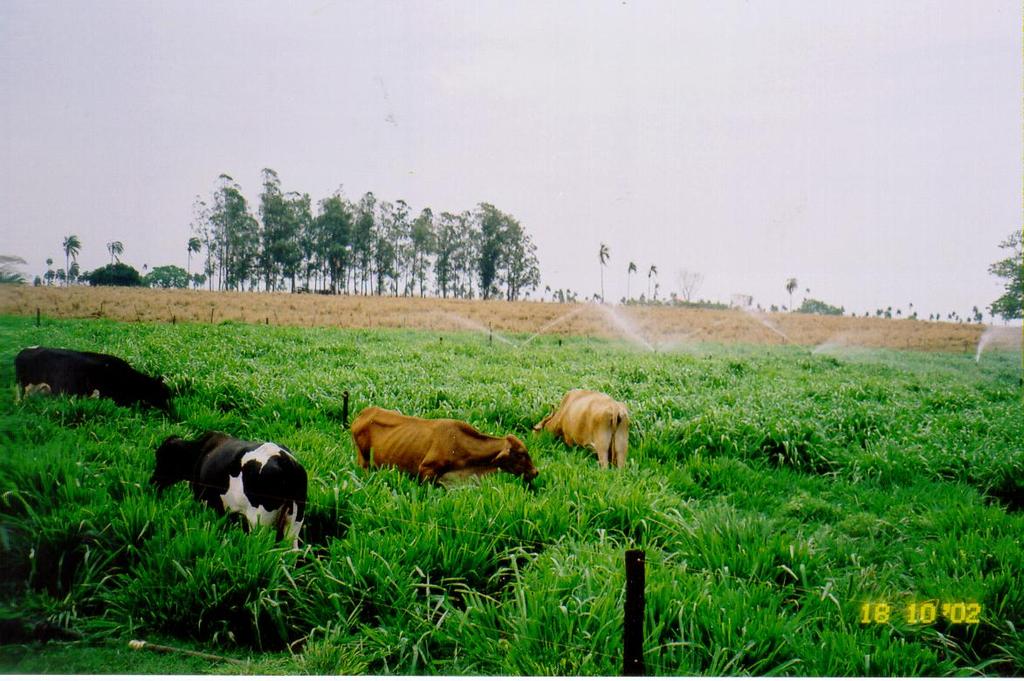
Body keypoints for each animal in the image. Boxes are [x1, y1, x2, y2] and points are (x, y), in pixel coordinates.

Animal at [149, 430, 305, 548]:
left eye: (162, 458)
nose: (152, 481)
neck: (200, 452)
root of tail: (285, 460)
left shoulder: (206, 500)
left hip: (259, 522)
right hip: (294, 522)